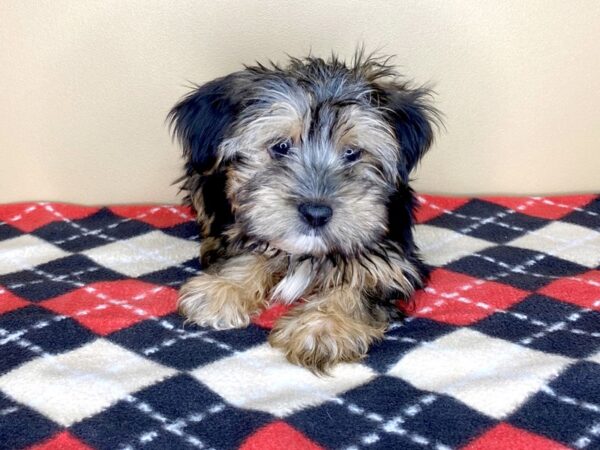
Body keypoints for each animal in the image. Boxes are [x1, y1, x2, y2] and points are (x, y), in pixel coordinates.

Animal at [169, 51, 440, 372]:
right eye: (281, 147)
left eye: (352, 153)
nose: (316, 213)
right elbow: (250, 249)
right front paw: (224, 288)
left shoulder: (394, 263)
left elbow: (361, 284)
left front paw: (323, 327)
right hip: (203, 172)